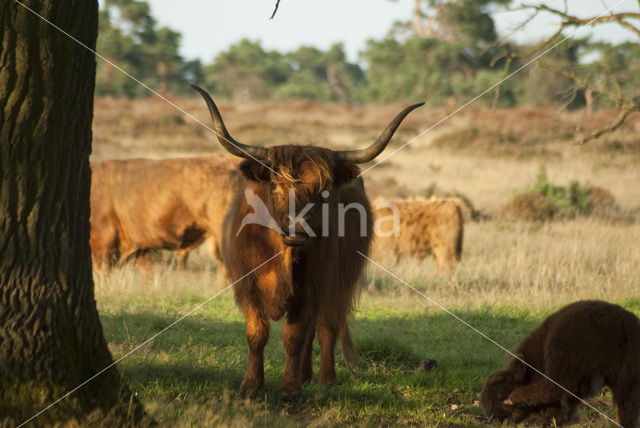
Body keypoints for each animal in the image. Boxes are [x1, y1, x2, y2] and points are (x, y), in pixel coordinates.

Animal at [194, 84, 424, 398]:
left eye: (323, 190)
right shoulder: (246, 286)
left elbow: (295, 336)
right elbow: (257, 334)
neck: (281, 256)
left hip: (338, 282)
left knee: (327, 326)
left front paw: (290, 389)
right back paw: (305, 374)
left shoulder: (312, 287)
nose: (296, 228)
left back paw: (326, 378)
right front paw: (252, 385)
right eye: (276, 185)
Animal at [480, 300, 640, 426]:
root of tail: (623, 322)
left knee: (552, 388)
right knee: (626, 410)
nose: (494, 419)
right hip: (627, 382)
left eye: (501, 391)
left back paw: (515, 397)